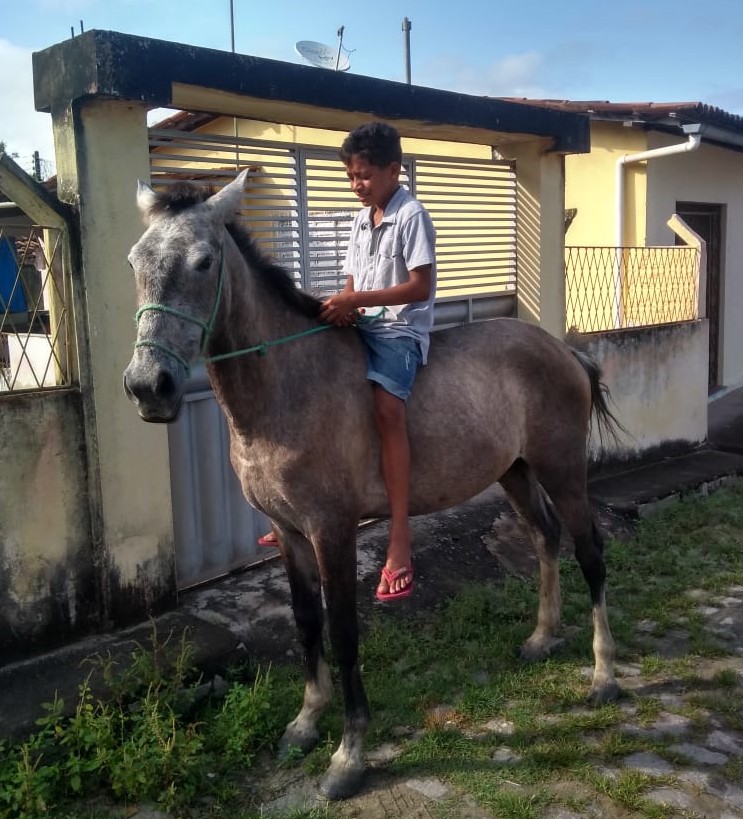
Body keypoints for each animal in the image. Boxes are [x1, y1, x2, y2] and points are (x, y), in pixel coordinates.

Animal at [123, 171, 620, 800]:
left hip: (563, 470)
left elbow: (342, 632)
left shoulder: (331, 530)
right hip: (515, 470)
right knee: (545, 537)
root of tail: (563, 349)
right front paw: (306, 721)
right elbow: (306, 623)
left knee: (590, 552)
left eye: (204, 261)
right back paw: (543, 636)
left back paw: (604, 673)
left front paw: (348, 754)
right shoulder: (288, 533)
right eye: (135, 260)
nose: (149, 386)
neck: (287, 386)